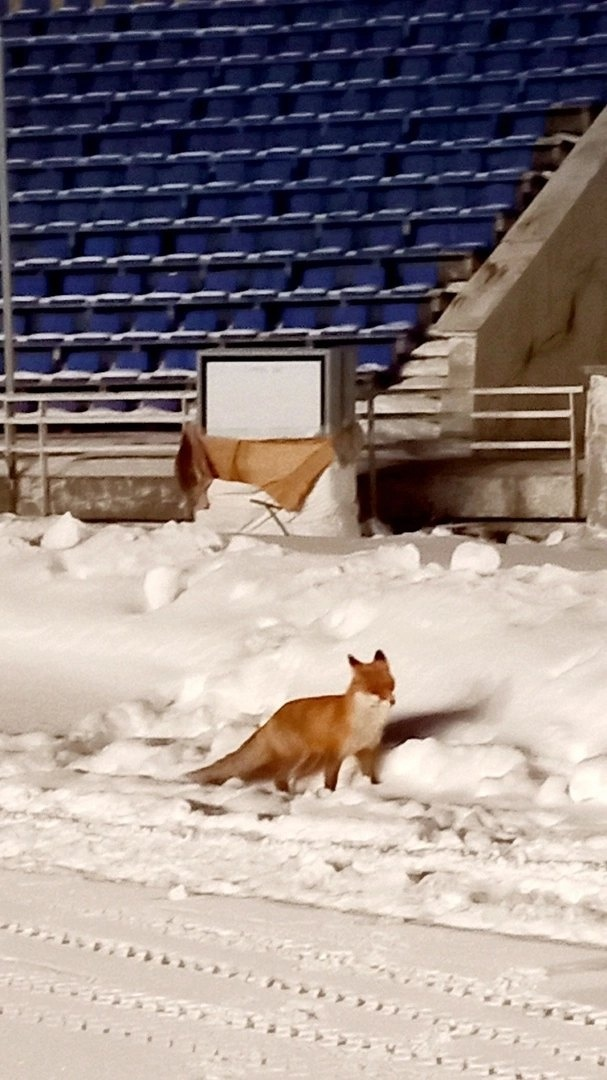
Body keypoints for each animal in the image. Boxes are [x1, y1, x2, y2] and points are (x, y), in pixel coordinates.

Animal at [184, 648, 395, 794]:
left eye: (390, 686)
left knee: (288, 778)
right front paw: (329, 795)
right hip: (296, 757)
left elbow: (369, 776)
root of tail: (273, 717)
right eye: (374, 690)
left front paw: (372, 788)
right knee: (278, 779)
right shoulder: (335, 755)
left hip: (308, 759)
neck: (364, 724)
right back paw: (286, 795)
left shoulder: (367, 750)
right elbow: (330, 782)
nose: (392, 701)